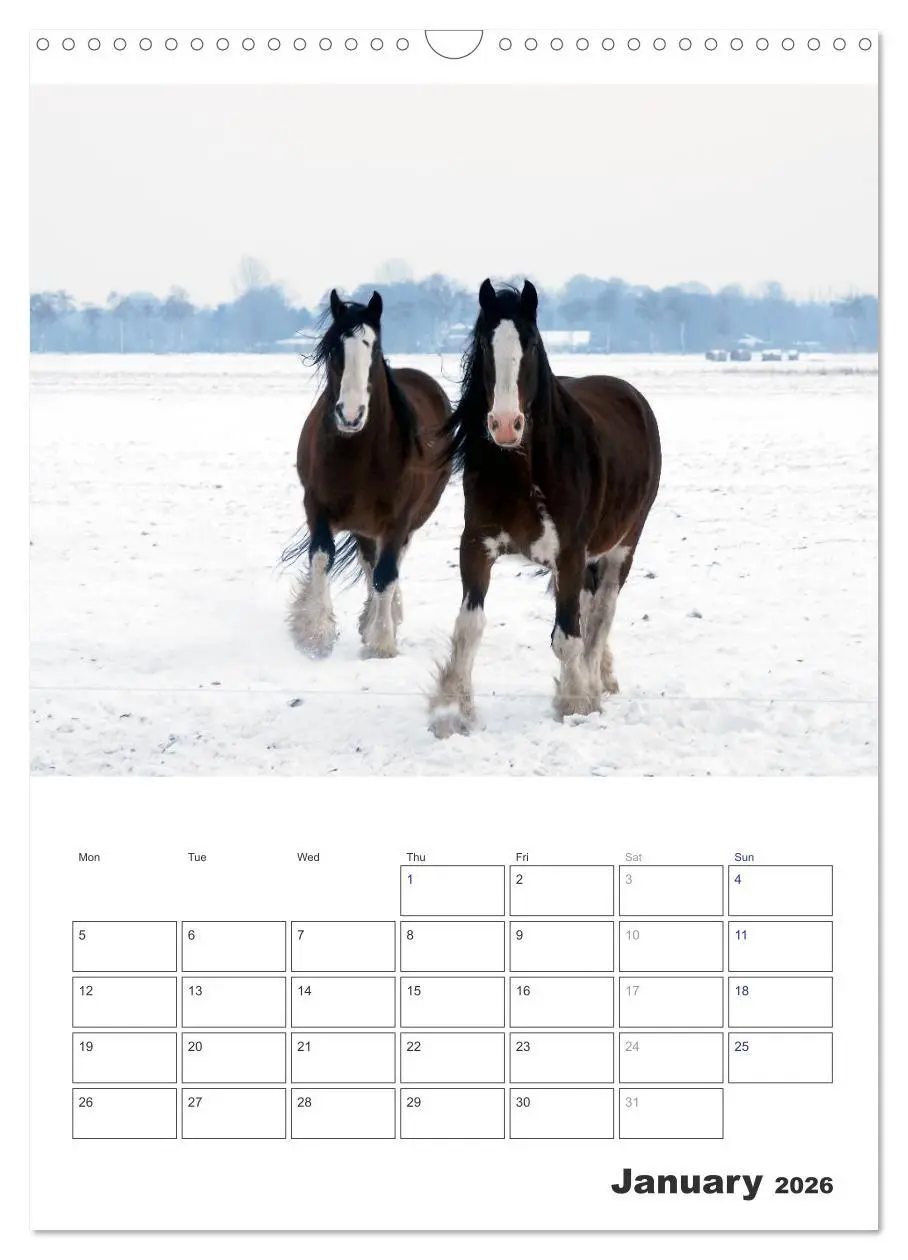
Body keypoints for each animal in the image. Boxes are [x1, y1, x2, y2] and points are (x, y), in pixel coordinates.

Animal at [284, 289, 452, 659]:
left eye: (373, 349)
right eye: (334, 348)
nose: (350, 415)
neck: (358, 454)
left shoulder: (398, 520)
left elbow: (385, 575)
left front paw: (381, 641)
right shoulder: (316, 507)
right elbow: (322, 559)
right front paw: (315, 634)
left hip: (407, 521)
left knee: (388, 564)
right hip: (363, 525)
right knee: (367, 562)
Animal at [428, 278, 661, 737]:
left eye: (532, 342)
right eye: (483, 342)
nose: (504, 424)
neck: (523, 468)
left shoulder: (569, 553)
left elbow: (568, 636)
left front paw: (576, 704)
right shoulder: (476, 545)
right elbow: (468, 627)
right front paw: (451, 711)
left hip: (622, 547)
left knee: (601, 615)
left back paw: (594, 682)